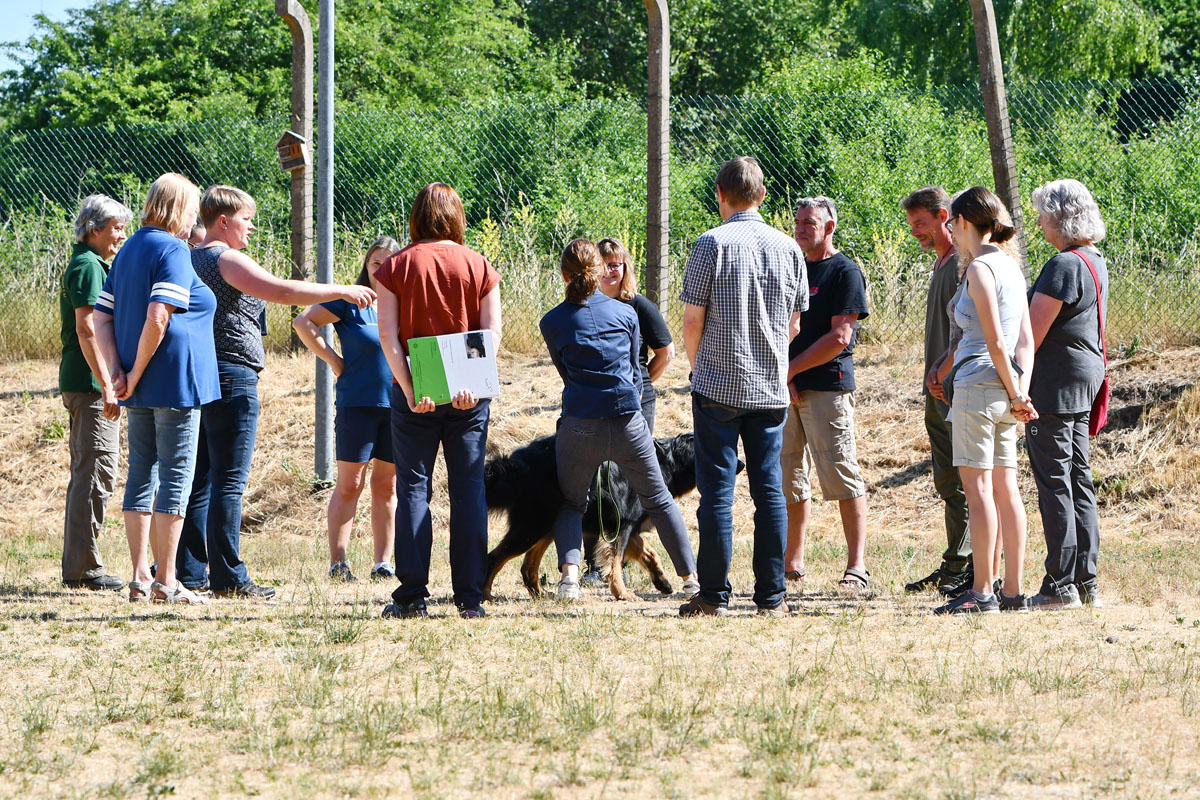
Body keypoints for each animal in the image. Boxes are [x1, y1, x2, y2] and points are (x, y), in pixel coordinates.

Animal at [487, 431, 710, 599]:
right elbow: (616, 562)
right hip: (532, 526)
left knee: (528, 566)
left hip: (547, 525)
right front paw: (621, 593)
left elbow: (649, 553)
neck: (667, 462)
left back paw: (541, 594)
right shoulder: (622, 526)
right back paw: (487, 595)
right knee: (494, 558)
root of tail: (518, 463)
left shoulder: (626, 526)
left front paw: (662, 581)